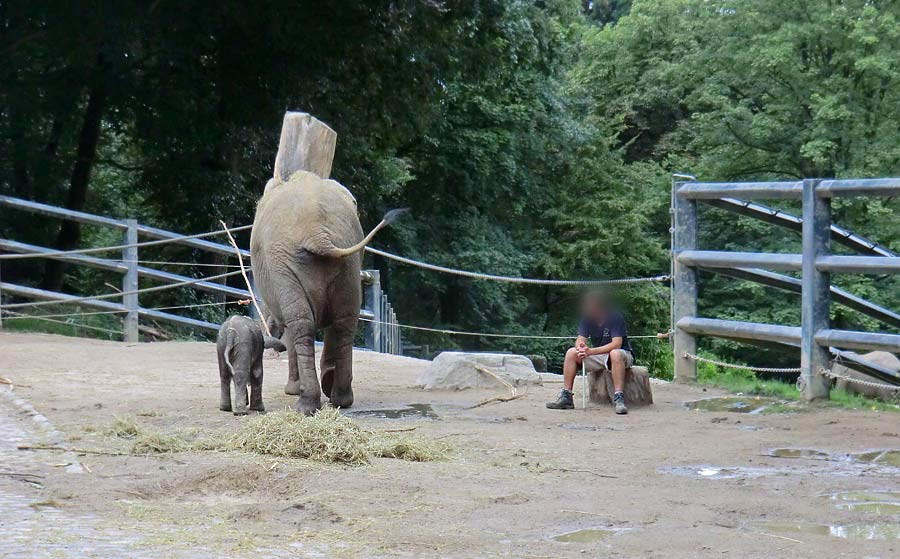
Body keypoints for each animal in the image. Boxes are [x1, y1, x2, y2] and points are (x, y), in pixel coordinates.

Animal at [250, 172, 404, 416]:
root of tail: (318, 234)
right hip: (347, 263)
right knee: (344, 323)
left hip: (285, 265)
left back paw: (305, 406)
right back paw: (341, 398)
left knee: (301, 325)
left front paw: (293, 390)